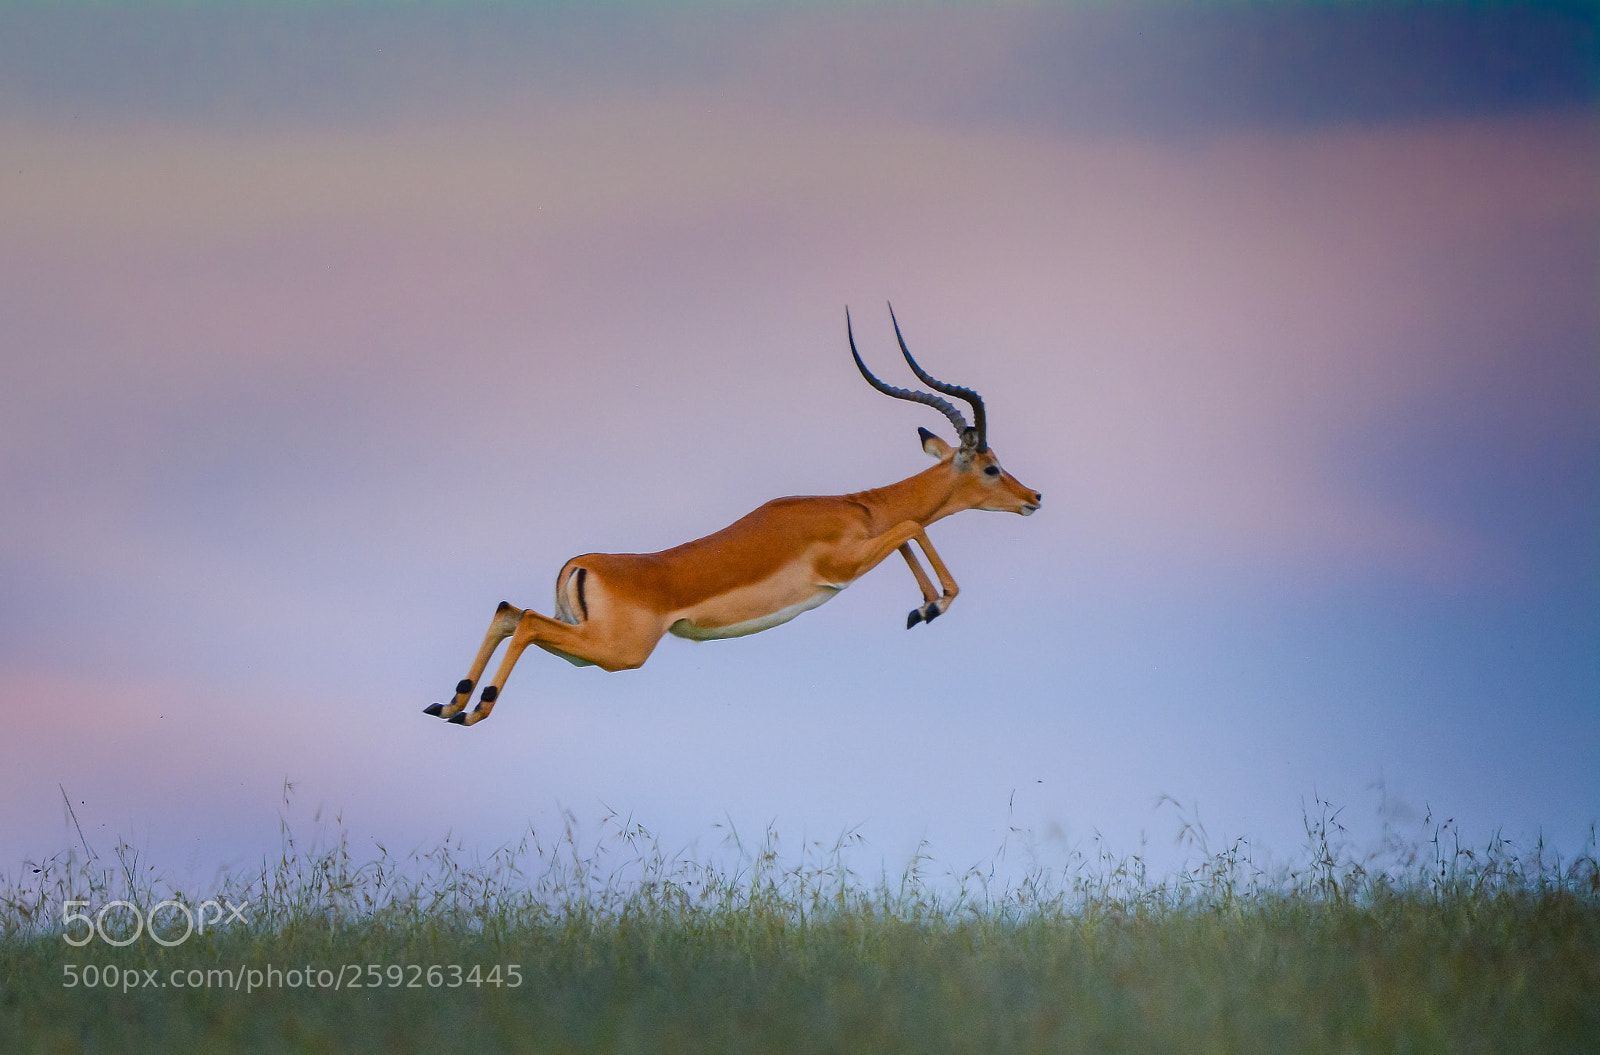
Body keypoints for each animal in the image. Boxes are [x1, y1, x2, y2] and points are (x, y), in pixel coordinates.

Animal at [426, 306, 1042, 726]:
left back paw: (451, 705)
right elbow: (911, 526)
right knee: (526, 620)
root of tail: (581, 564)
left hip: (584, 646)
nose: (1033, 497)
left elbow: (906, 532)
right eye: (991, 466)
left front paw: (922, 608)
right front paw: (930, 608)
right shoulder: (844, 564)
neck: (856, 506)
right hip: (616, 652)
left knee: (510, 611)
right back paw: (474, 709)